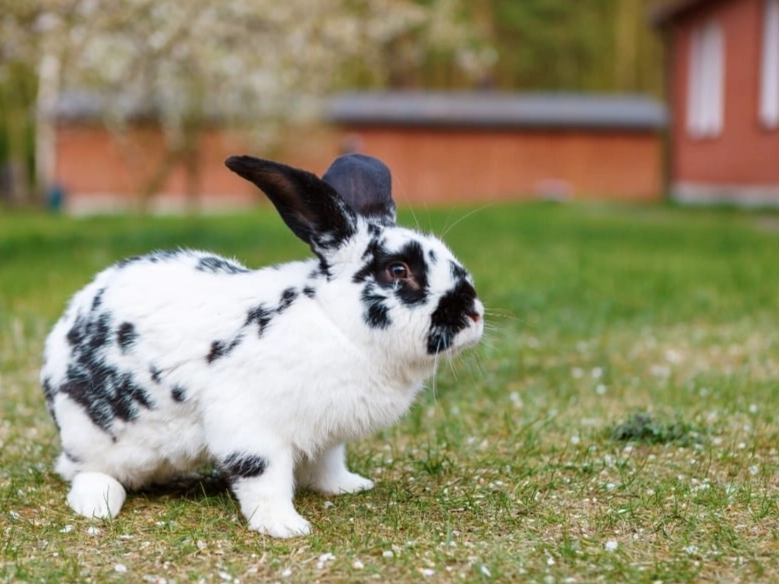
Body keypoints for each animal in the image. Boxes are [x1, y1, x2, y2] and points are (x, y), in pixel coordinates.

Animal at [40, 153, 484, 538]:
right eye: (398, 270)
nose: (473, 315)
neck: (332, 321)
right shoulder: (249, 427)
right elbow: (264, 479)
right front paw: (286, 527)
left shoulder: (326, 437)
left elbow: (327, 465)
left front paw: (349, 486)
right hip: (93, 436)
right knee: (88, 471)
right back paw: (98, 504)